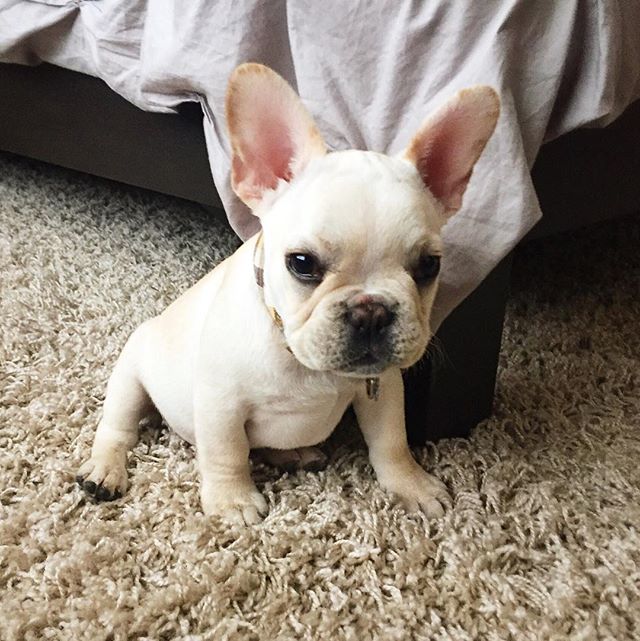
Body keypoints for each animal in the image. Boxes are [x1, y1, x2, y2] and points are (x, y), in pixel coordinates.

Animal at [76, 63, 500, 524]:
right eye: (301, 263)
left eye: (429, 266)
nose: (370, 310)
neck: (302, 360)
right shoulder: (220, 403)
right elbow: (227, 453)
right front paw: (233, 500)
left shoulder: (383, 390)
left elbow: (392, 442)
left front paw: (411, 484)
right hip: (130, 374)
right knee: (118, 427)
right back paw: (104, 470)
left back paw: (295, 453)